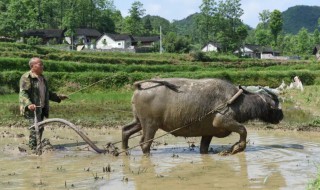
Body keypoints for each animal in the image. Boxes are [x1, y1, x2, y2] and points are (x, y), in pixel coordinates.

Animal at [122, 78, 282, 154]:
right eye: (276, 105)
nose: (281, 116)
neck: (236, 101)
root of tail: (140, 87)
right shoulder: (221, 120)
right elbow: (243, 130)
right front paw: (236, 148)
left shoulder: (208, 132)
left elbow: (203, 148)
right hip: (150, 124)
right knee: (145, 143)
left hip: (139, 121)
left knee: (126, 130)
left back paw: (125, 152)